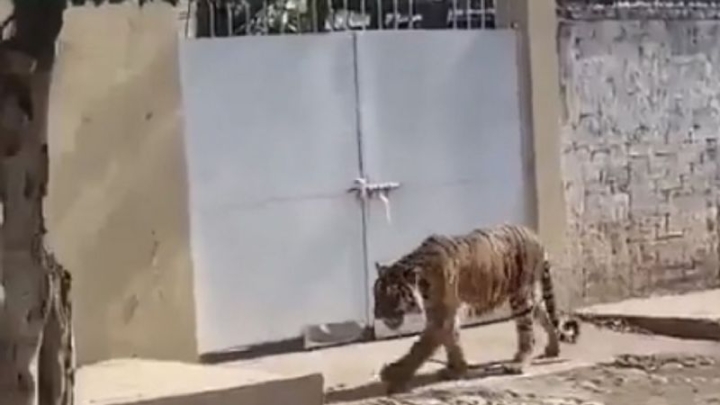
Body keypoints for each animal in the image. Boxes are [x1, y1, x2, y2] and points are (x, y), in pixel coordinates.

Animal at [374, 223, 584, 392]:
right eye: (376, 293)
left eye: (390, 296)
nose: (376, 314)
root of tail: (535, 236)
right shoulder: (443, 314)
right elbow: (451, 341)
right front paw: (457, 369)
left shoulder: (442, 315)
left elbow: (419, 348)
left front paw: (392, 374)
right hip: (530, 296)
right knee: (546, 317)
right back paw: (552, 349)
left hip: (520, 298)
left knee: (528, 335)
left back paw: (517, 365)